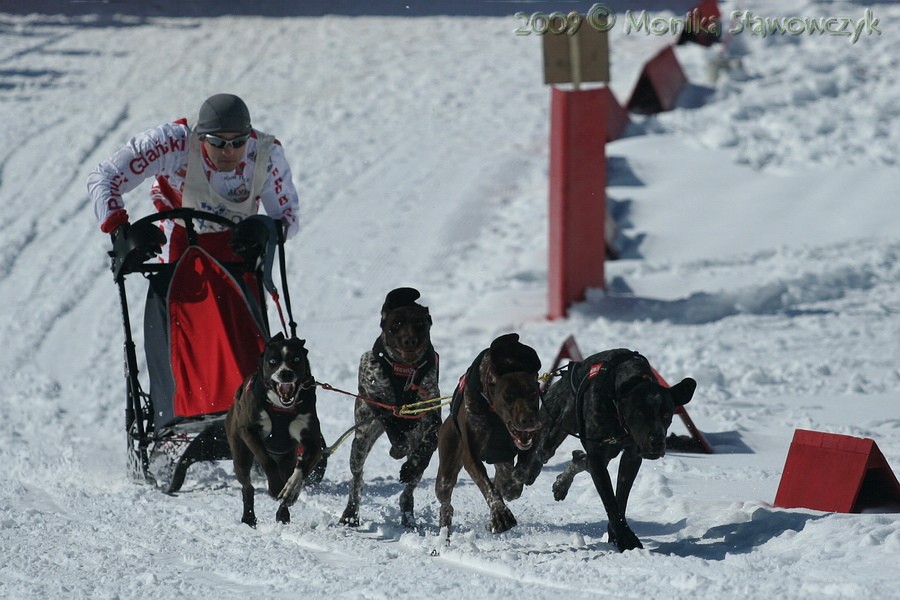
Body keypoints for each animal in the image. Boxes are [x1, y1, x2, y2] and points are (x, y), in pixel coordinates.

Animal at [224, 336, 324, 528]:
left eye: (296, 359)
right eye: (272, 361)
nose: (286, 373)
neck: (281, 409)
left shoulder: (314, 443)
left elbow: (301, 468)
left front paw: (291, 490)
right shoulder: (248, 431)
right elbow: (266, 459)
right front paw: (275, 486)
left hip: (287, 458)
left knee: (286, 472)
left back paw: (283, 513)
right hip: (240, 454)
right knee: (247, 486)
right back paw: (248, 517)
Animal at [340, 288, 442, 528]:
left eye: (419, 324)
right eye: (395, 324)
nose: (409, 340)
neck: (404, 371)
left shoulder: (431, 410)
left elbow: (429, 442)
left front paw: (412, 464)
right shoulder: (373, 396)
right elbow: (392, 424)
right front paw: (397, 447)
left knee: (408, 491)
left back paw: (408, 514)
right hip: (361, 441)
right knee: (356, 480)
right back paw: (350, 514)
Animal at [436, 332, 540, 536]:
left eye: (533, 393)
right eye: (508, 396)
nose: (529, 419)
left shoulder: (531, 440)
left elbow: (516, 476)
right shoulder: (471, 457)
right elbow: (488, 487)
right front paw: (500, 514)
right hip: (447, 468)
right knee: (446, 502)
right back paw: (445, 531)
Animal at [512, 350, 696, 552]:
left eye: (666, 414)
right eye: (639, 413)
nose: (657, 442)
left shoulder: (630, 457)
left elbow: (620, 499)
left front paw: (617, 533)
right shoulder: (598, 458)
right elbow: (610, 501)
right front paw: (624, 538)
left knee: (579, 460)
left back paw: (563, 481)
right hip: (553, 429)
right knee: (539, 455)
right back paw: (521, 476)